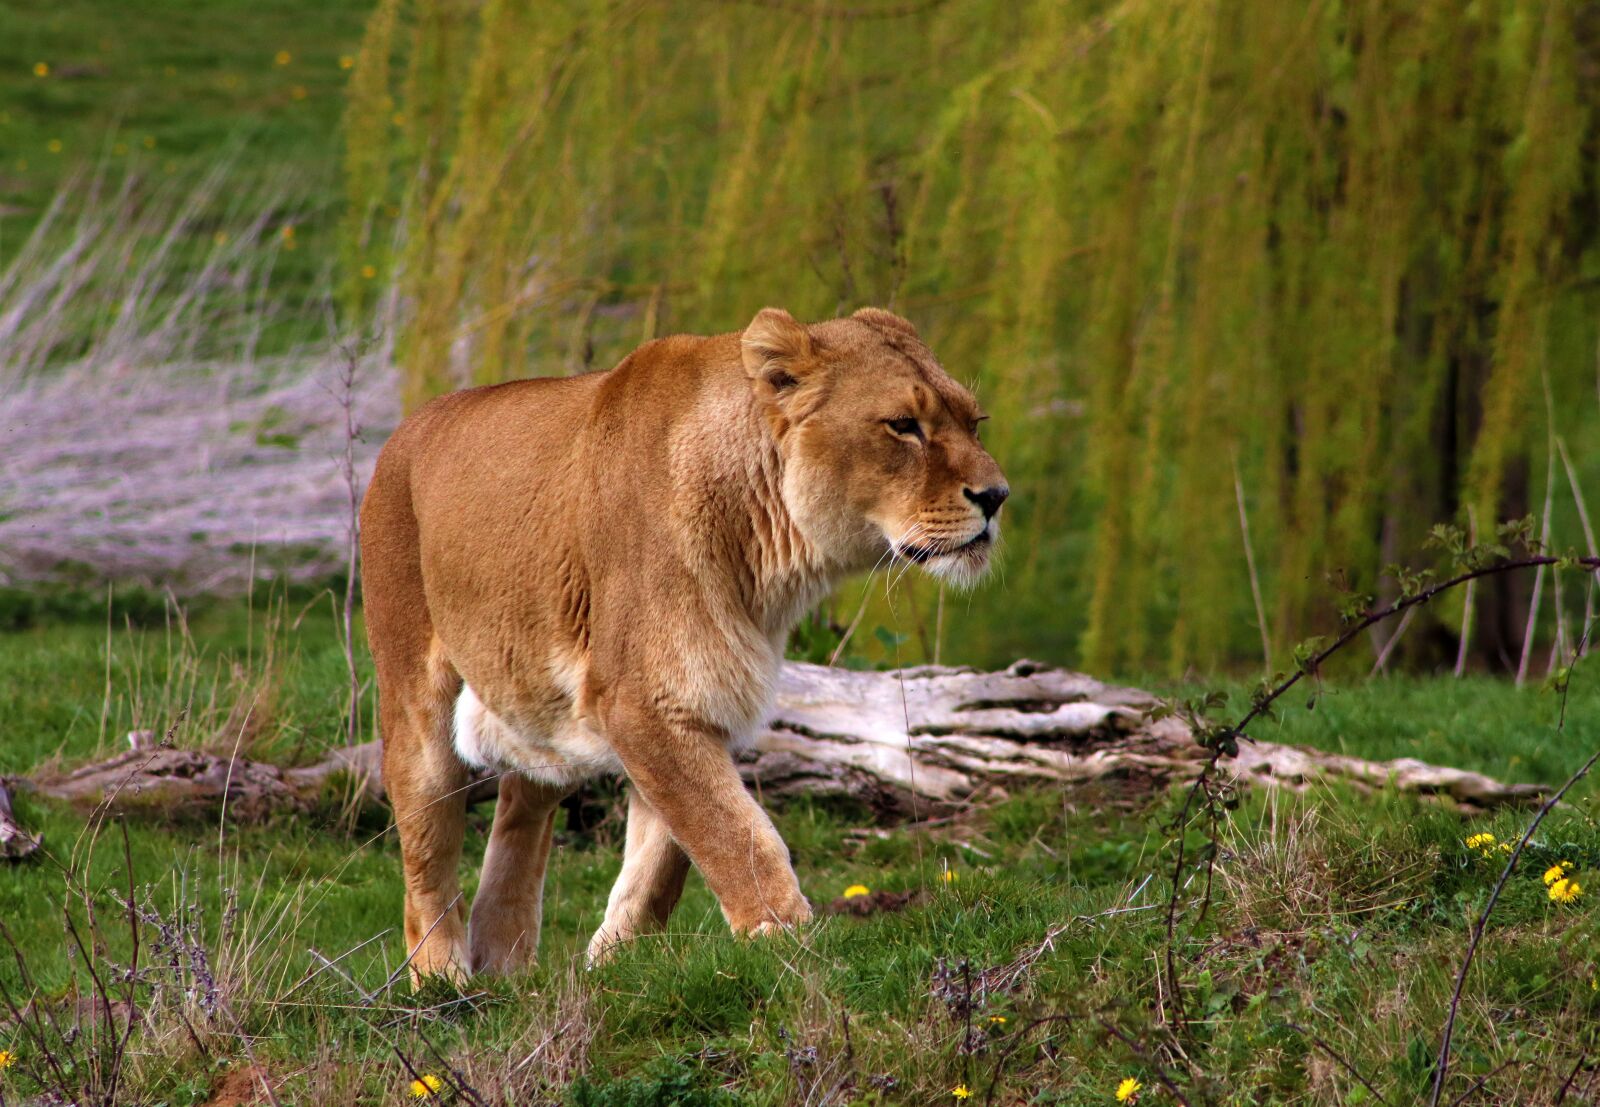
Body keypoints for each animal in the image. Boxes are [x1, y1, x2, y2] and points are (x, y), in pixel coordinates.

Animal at [360, 306, 1008, 980]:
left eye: (974, 422)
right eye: (903, 426)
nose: (997, 496)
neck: (771, 558)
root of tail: (407, 427)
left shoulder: (706, 700)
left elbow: (664, 858)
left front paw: (613, 965)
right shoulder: (641, 701)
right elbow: (733, 834)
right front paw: (791, 947)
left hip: (538, 703)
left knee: (521, 808)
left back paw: (506, 968)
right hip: (414, 700)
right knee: (425, 857)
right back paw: (444, 979)